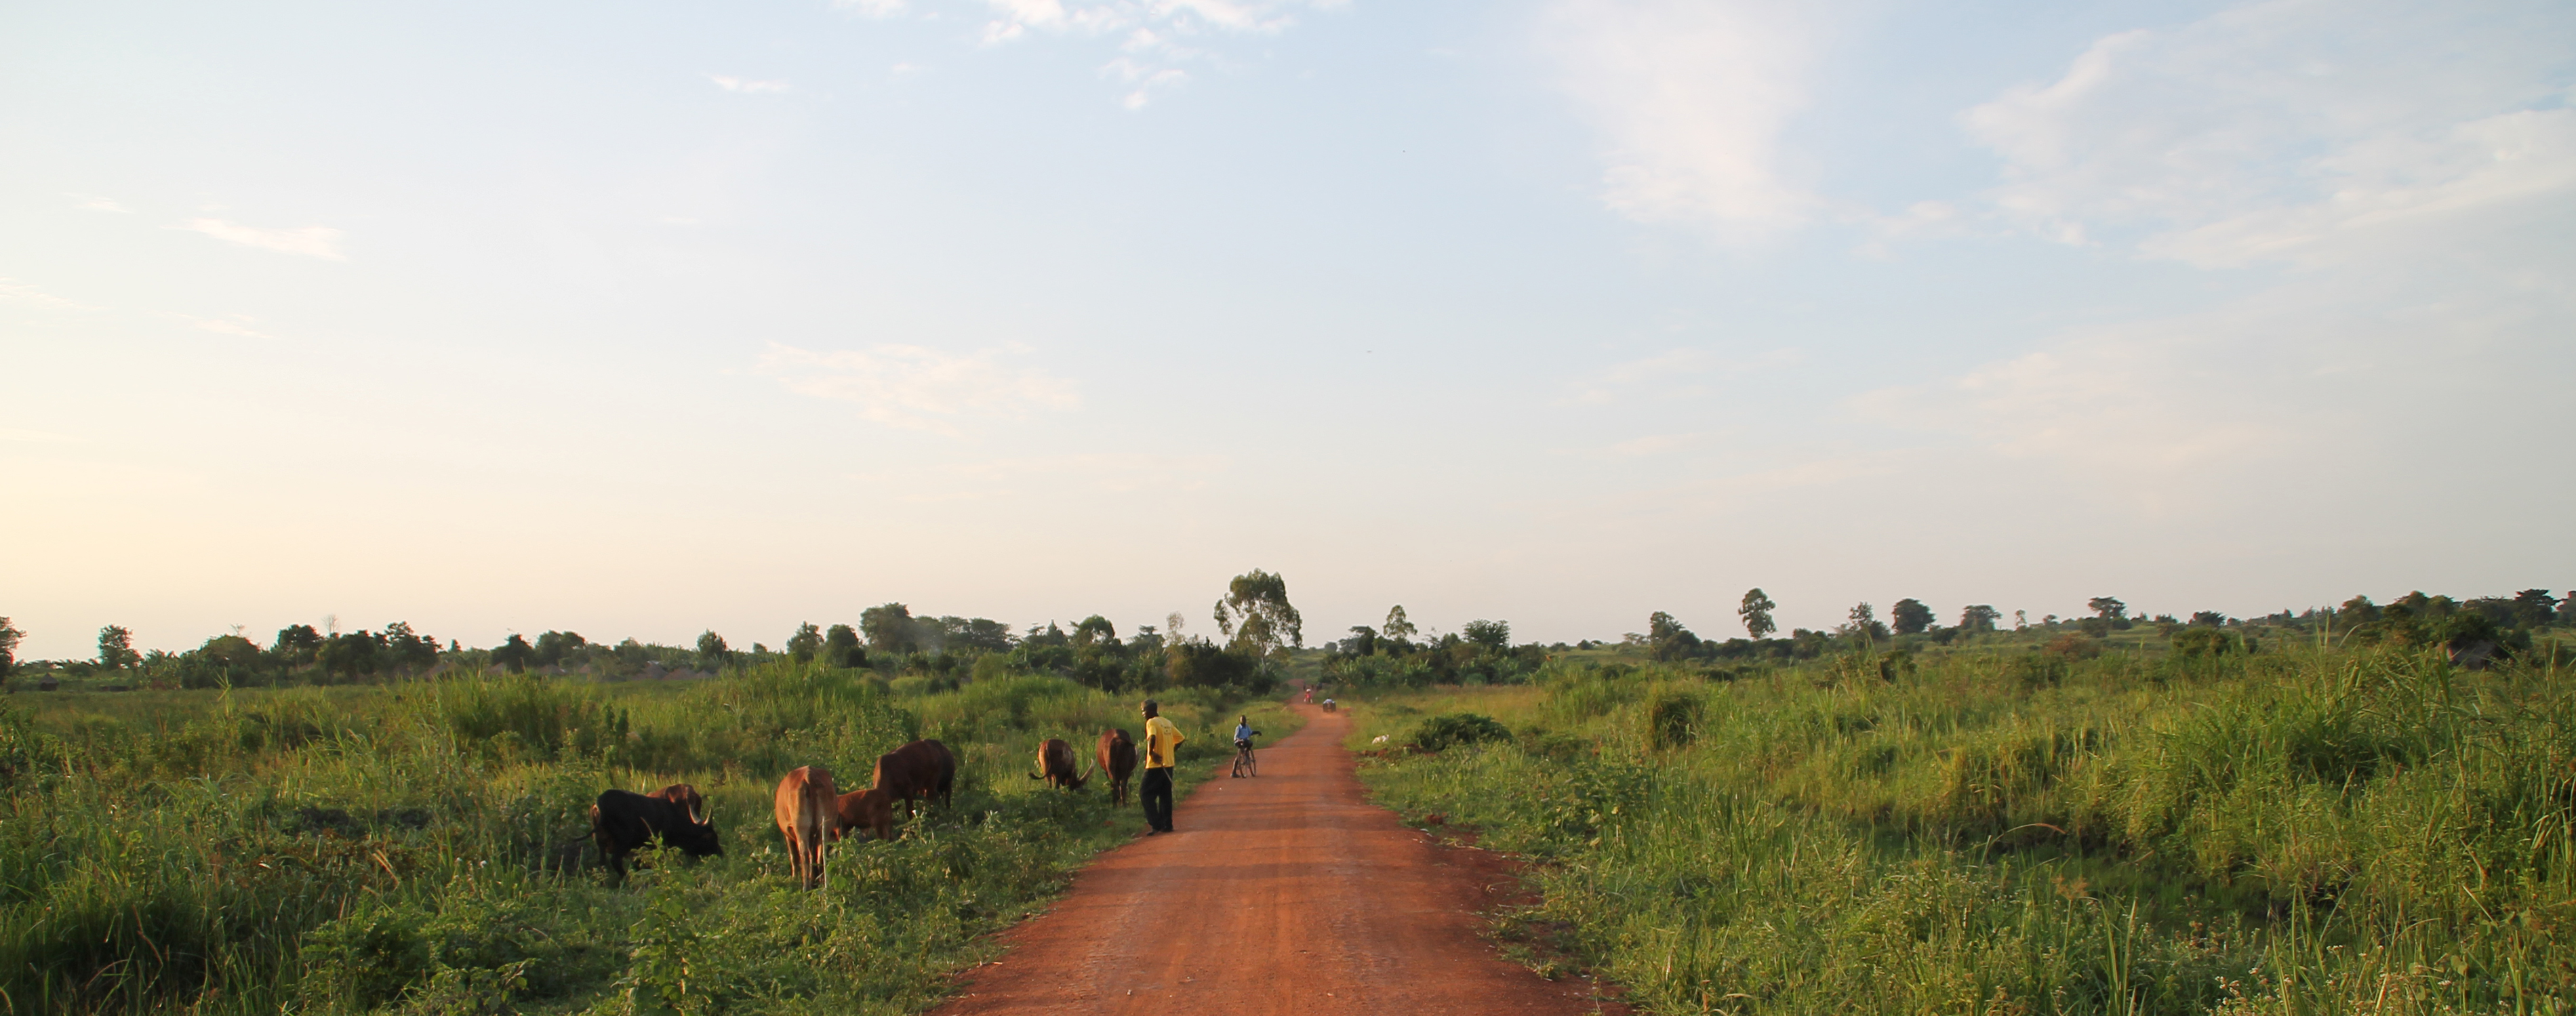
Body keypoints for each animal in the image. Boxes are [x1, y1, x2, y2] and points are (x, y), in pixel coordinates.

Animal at [592, 789, 726, 876]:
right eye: (713, 838)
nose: (722, 854)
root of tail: (601, 802)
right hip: (624, 842)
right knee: (615, 861)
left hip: (600, 843)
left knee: (602, 864)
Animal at [773, 768, 834, 887]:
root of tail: (808, 774)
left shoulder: (788, 834)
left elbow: (794, 856)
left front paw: (794, 878)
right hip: (825, 827)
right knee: (821, 854)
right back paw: (821, 881)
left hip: (801, 827)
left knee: (804, 854)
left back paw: (806, 886)